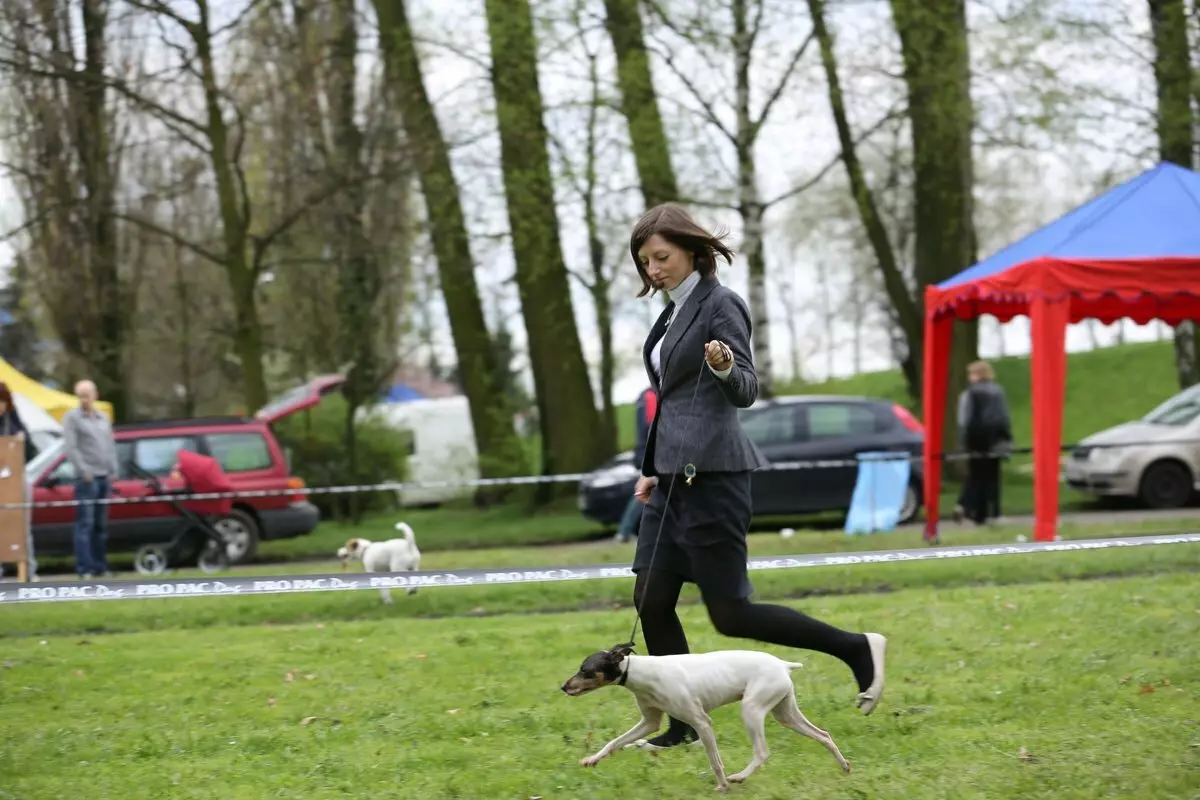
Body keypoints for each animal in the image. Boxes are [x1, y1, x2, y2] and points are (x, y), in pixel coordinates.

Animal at [559, 642, 854, 791]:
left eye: (585, 670)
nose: (563, 687)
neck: (642, 673)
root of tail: (783, 664)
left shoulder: (701, 722)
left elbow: (715, 761)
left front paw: (722, 785)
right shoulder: (649, 723)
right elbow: (615, 742)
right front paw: (591, 760)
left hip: (751, 710)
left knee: (762, 752)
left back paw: (739, 777)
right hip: (786, 713)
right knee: (823, 735)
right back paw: (844, 766)